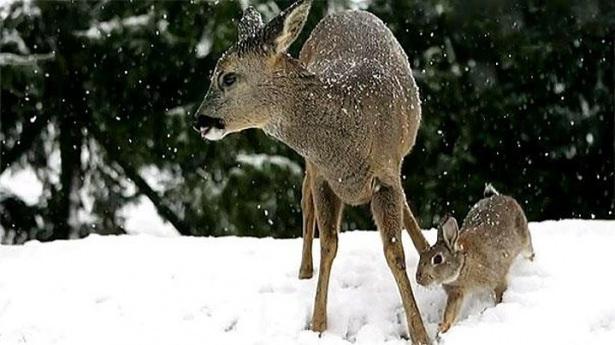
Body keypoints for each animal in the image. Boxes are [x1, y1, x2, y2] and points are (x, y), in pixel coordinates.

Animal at [195, 1, 430, 342]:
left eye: (227, 78)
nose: (199, 120)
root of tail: (347, 12)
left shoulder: (386, 175)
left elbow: (393, 251)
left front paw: (421, 333)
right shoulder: (323, 175)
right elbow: (328, 244)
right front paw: (318, 325)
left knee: (405, 203)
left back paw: (426, 248)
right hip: (309, 165)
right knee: (305, 202)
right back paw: (305, 271)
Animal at [416, 184, 536, 332]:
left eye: (437, 259)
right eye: (422, 255)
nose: (418, 278)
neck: (463, 265)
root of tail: (499, 196)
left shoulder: (497, 277)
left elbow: (500, 293)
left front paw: (496, 307)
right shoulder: (456, 292)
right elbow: (451, 312)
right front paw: (443, 327)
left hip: (524, 239)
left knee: (530, 251)